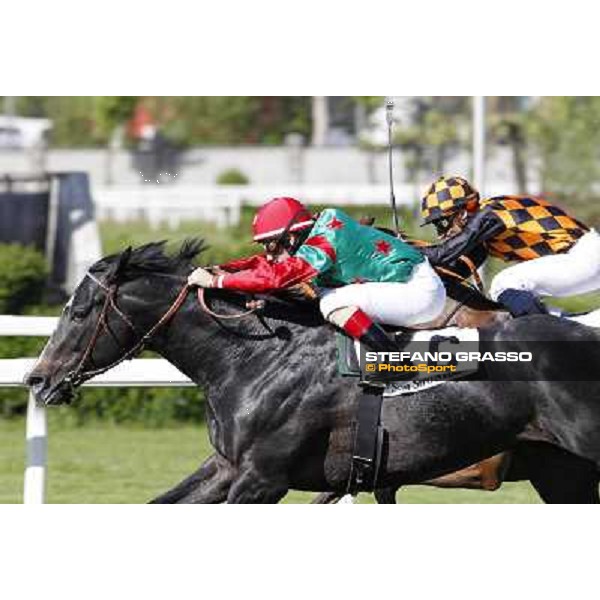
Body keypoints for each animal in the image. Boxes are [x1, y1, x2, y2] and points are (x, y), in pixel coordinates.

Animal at [27, 243, 600, 502]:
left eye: (79, 312)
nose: (37, 380)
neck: (254, 361)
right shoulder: (227, 467)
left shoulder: (262, 479)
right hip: (560, 471)